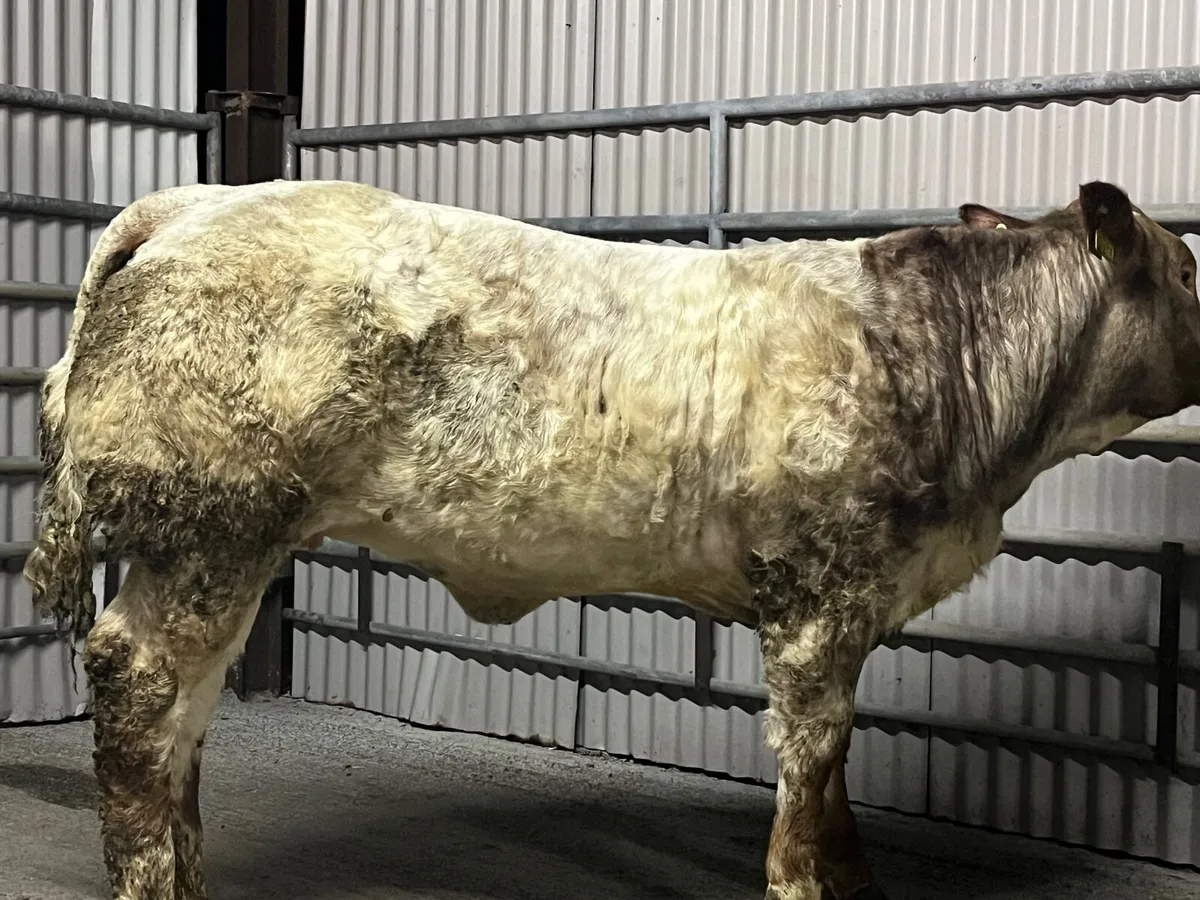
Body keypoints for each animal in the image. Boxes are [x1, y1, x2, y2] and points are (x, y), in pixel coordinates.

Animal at [21, 177, 1200, 900]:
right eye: (1188, 271)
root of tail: (196, 202)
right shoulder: (816, 591)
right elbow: (811, 751)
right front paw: (805, 878)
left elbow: (835, 761)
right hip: (215, 525)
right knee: (145, 691)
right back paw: (156, 880)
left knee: (182, 718)